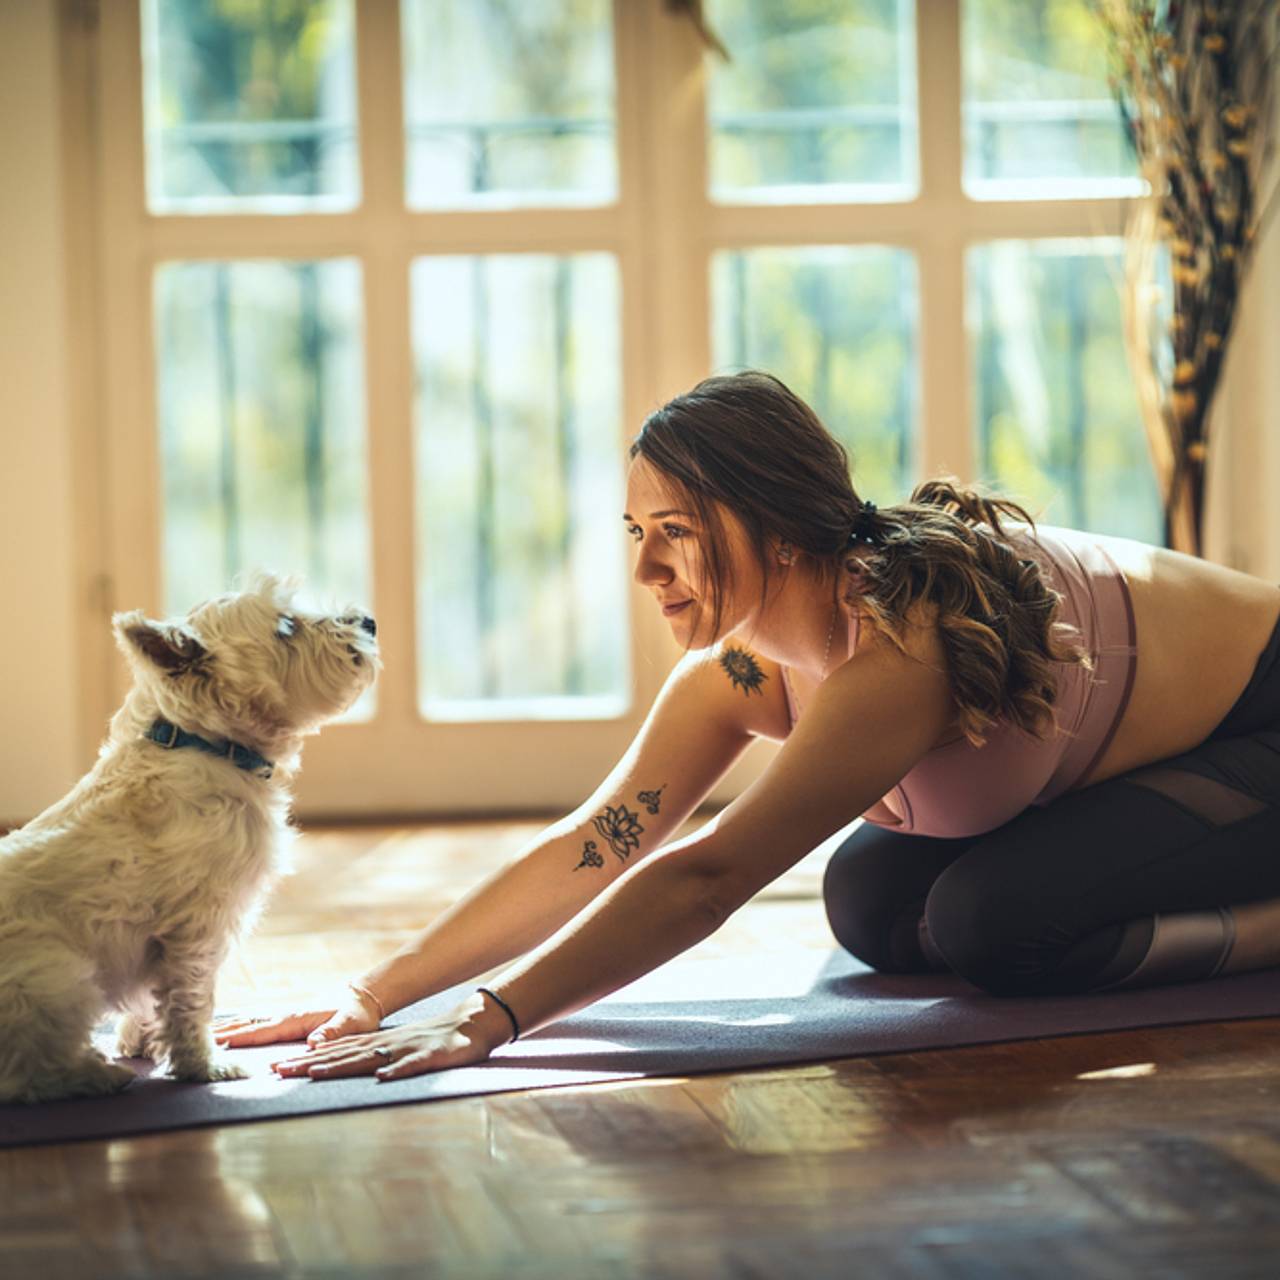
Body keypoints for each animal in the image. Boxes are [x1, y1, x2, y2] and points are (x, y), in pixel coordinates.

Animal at [0, 576, 378, 1105]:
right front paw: (203, 1066)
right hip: (56, 975)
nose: (369, 621)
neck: (204, 741)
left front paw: (139, 1042)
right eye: (286, 626)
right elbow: (192, 1000)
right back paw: (93, 1075)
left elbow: (148, 1000)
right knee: (25, 1077)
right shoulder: (198, 924)